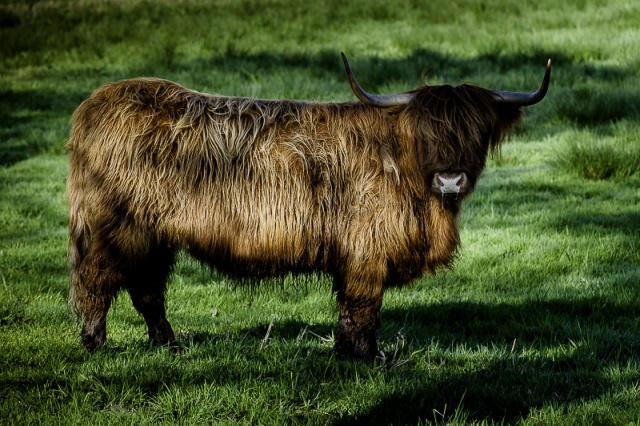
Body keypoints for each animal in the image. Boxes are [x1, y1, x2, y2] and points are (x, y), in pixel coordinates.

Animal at [69, 52, 552, 360]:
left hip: (155, 235)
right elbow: (363, 307)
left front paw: (347, 351)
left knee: (147, 288)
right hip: (119, 229)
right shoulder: (366, 250)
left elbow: (350, 308)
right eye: (426, 132)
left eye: (477, 131)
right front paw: (365, 358)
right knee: (98, 278)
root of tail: (96, 103)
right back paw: (94, 341)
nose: (450, 179)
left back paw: (168, 343)